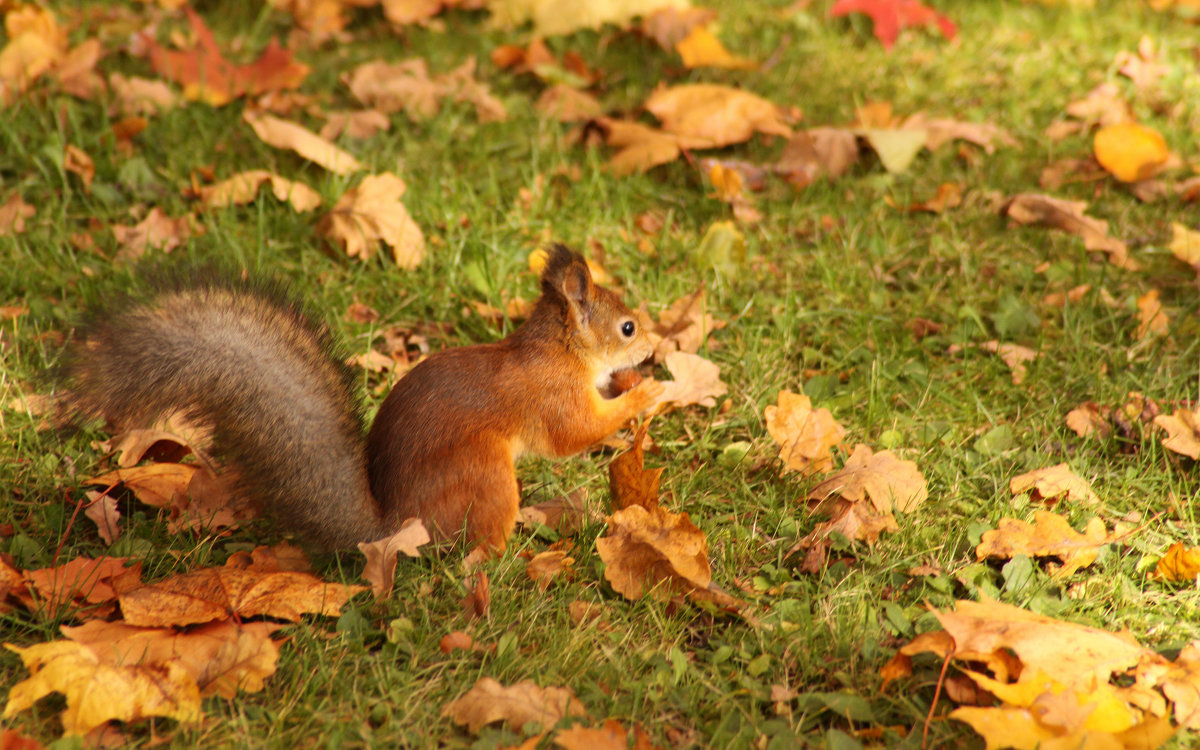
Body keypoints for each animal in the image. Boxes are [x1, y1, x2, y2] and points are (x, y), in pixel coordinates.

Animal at [63, 246, 667, 549]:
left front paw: (631, 385)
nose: (657, 346)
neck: (559, 351)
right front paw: (648, 392)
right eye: (628, 328)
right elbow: (573, 435)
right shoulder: (552, 398)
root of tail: (394, 530)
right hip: (485, 473)